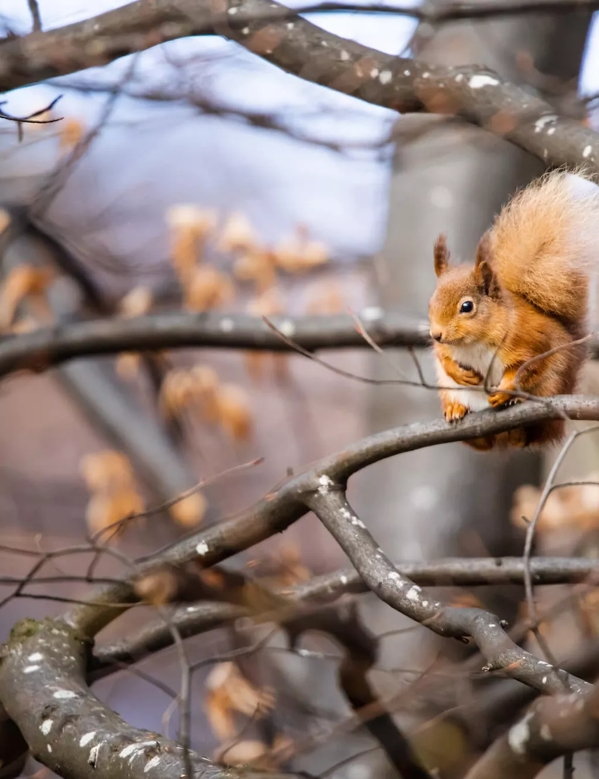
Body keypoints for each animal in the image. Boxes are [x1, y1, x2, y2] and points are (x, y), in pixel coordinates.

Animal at [428, 169, 599, 451]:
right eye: (430, 303)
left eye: (467, 306)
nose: (436, 334)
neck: (474, 341)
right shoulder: (445, 347)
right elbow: (443, 356)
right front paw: (457, 370)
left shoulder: (530, 341)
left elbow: (528, 367)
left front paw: (505, 391)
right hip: (448, 390)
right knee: (480, 442)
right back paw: (455, 409)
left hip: (550, 387)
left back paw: (517, 419)